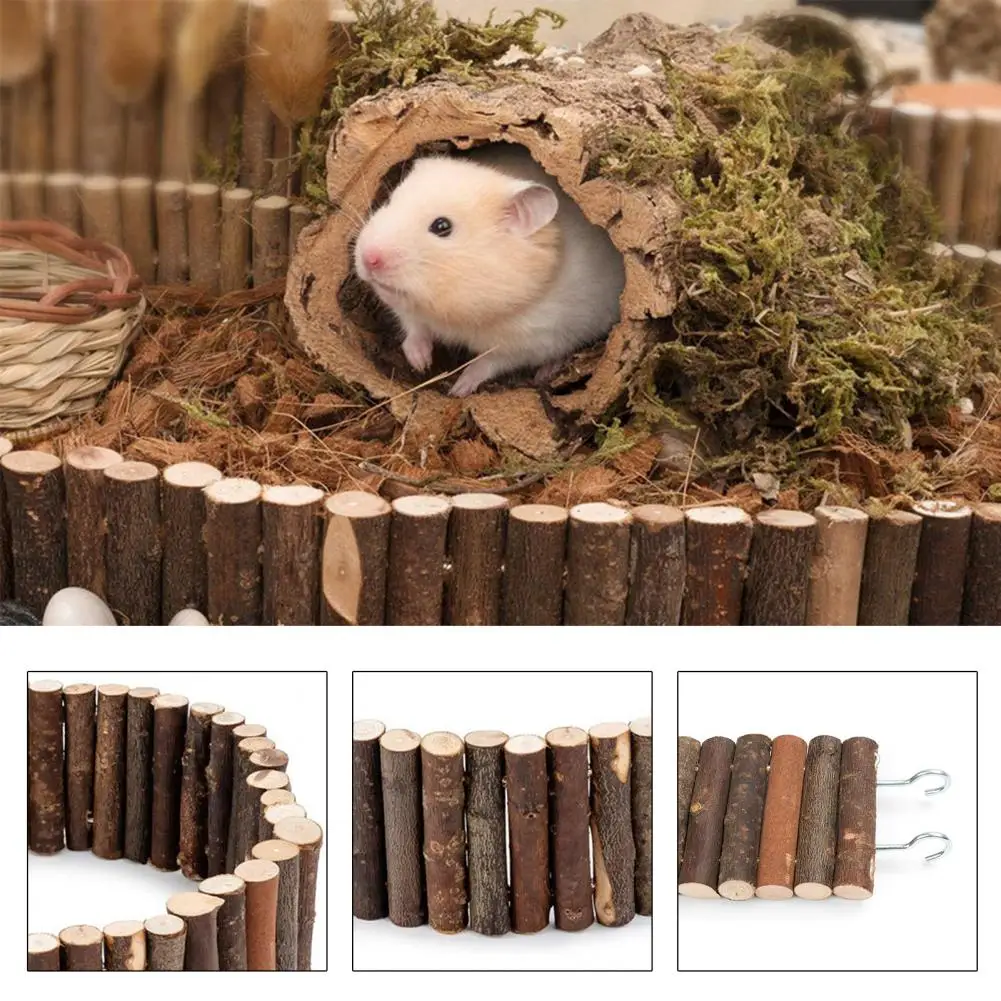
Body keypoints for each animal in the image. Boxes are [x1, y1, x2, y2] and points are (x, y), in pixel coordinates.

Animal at [353, 143, 626, 397]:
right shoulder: (409, 310)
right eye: (390, 201)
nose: (368, 259)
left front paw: (458, 389)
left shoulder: (529, 342)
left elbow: (488, 362)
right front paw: (421, 362)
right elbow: (414, 327)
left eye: (442, 226)